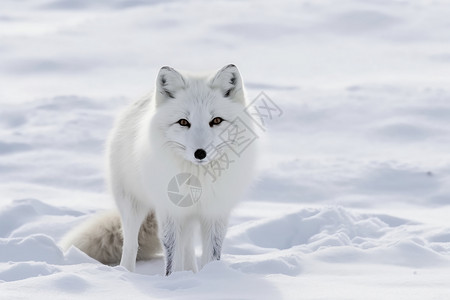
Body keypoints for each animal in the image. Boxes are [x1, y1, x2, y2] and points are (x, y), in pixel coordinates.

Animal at [63, 64, 260, 276]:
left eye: (216, 120)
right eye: (183, 122)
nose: (200, 153)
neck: (197, 178)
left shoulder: (215, 212)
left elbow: (212, 255)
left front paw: (211, 277)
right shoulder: (169, 211)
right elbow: (171, 255)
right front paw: (173, 279)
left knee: (188, 246)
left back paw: (191, 272)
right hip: (132, 205)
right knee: (131, 244)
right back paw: (126, 274)